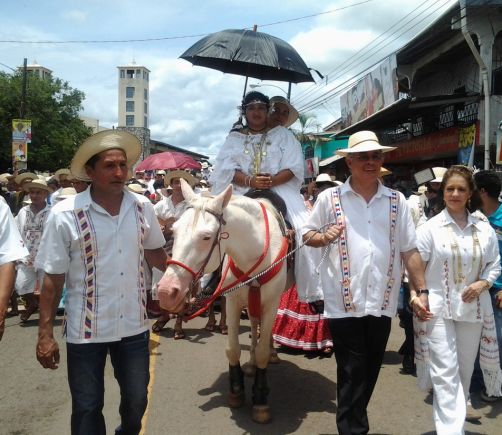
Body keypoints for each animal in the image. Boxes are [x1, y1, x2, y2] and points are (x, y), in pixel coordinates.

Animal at [156, 179, 289, 423]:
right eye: (174, 230)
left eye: (206, 237)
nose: (166, 291)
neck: (255, 252)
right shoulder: (234, 300)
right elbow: (233, 349)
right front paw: (236, 391)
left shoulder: (271, 303)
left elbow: (263, 351)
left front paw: (260, 400)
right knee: (253, 323)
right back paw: (250, 364)